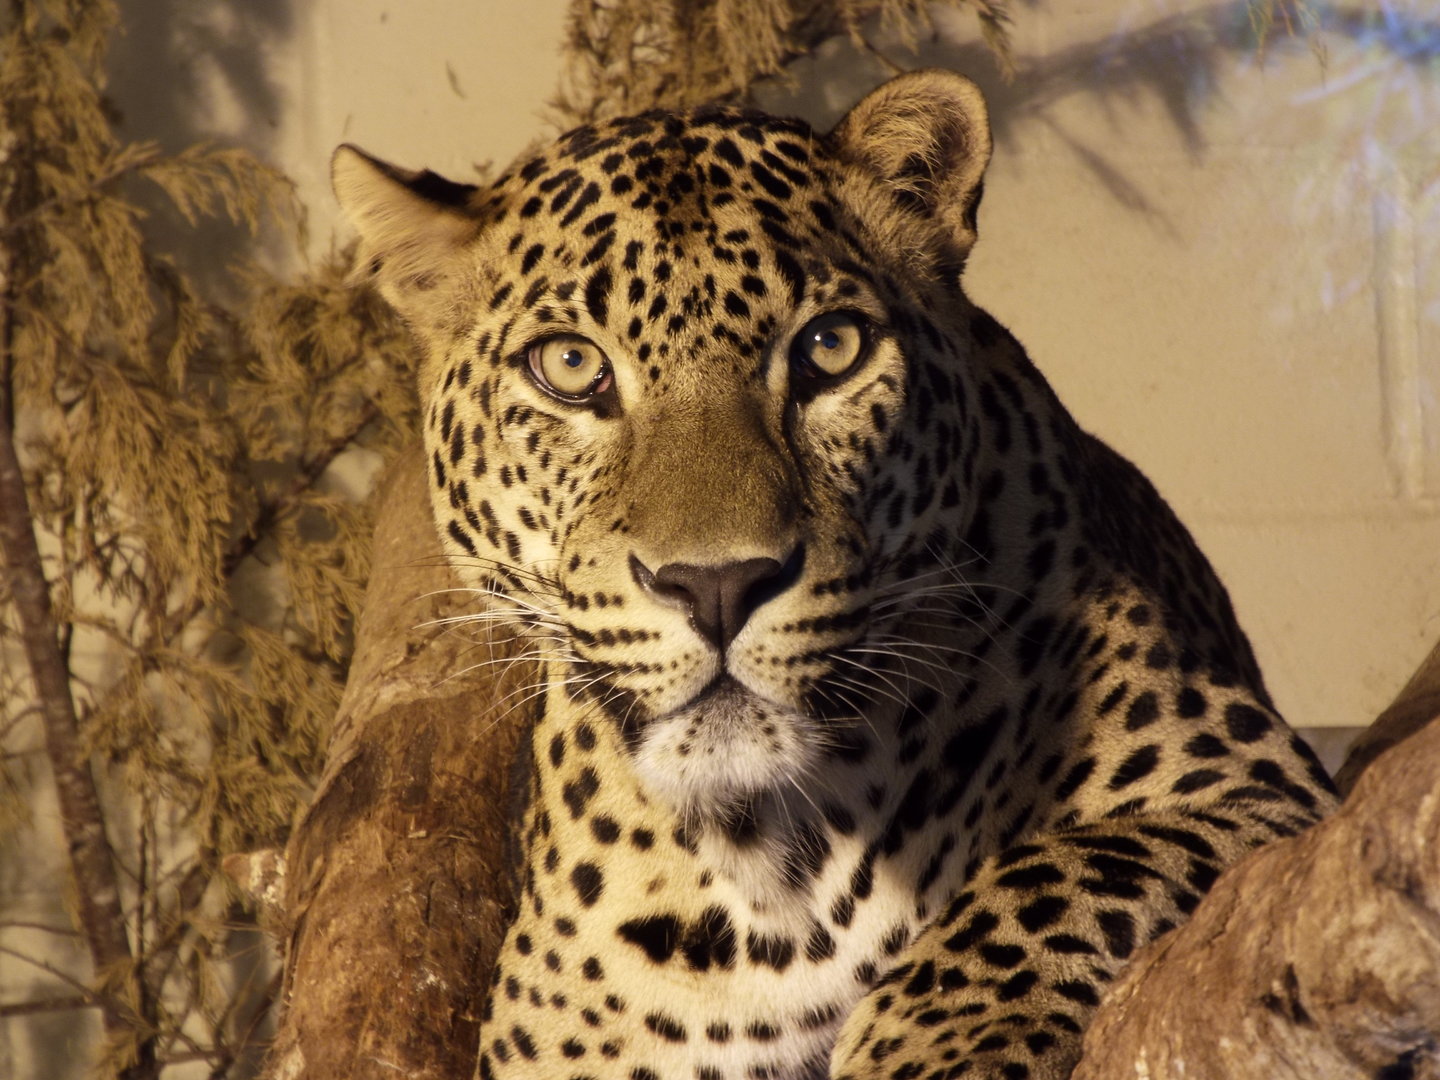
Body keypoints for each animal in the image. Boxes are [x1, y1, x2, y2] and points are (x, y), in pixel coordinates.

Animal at [332, 69, 1337, 1080]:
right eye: (571, 366)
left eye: (830, 349)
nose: (718, 587)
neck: (774, 871)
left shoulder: (1256, 783)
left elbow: (1047, 873)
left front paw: (930, 1048)